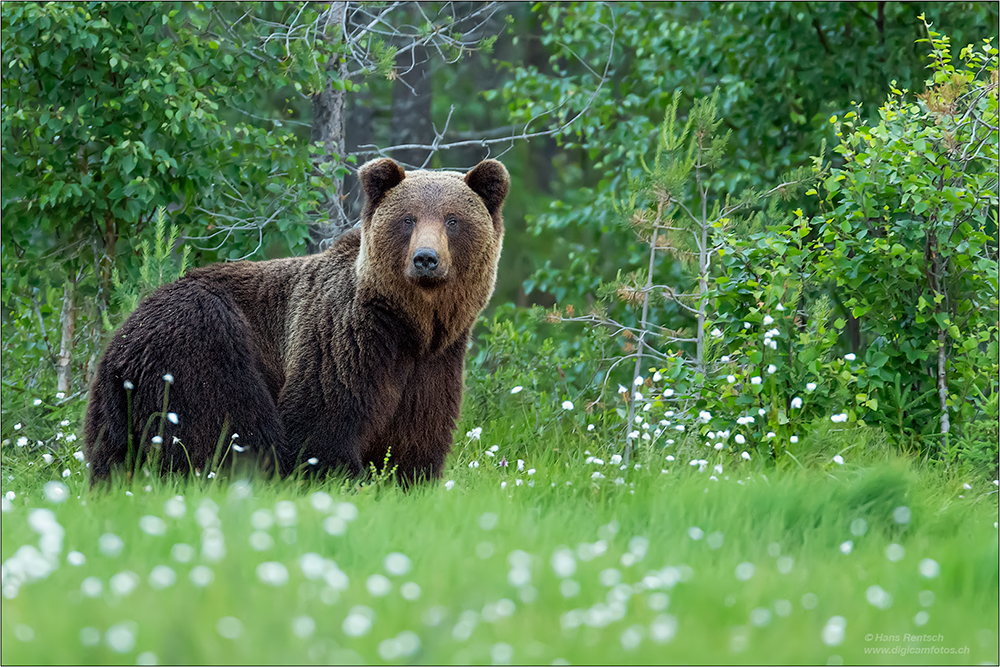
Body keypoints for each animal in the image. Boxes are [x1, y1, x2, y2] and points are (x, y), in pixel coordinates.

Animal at [84, 159, 508, 482]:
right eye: (408, 219)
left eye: (452, 220)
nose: (425, 259)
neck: (409, 326)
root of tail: (122, 336)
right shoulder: (344, 342)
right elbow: (321, 425)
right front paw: (342, 479)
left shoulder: (434, 366)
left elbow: (416, 441)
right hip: (199, 342)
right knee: (229, 426)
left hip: (115, 412)